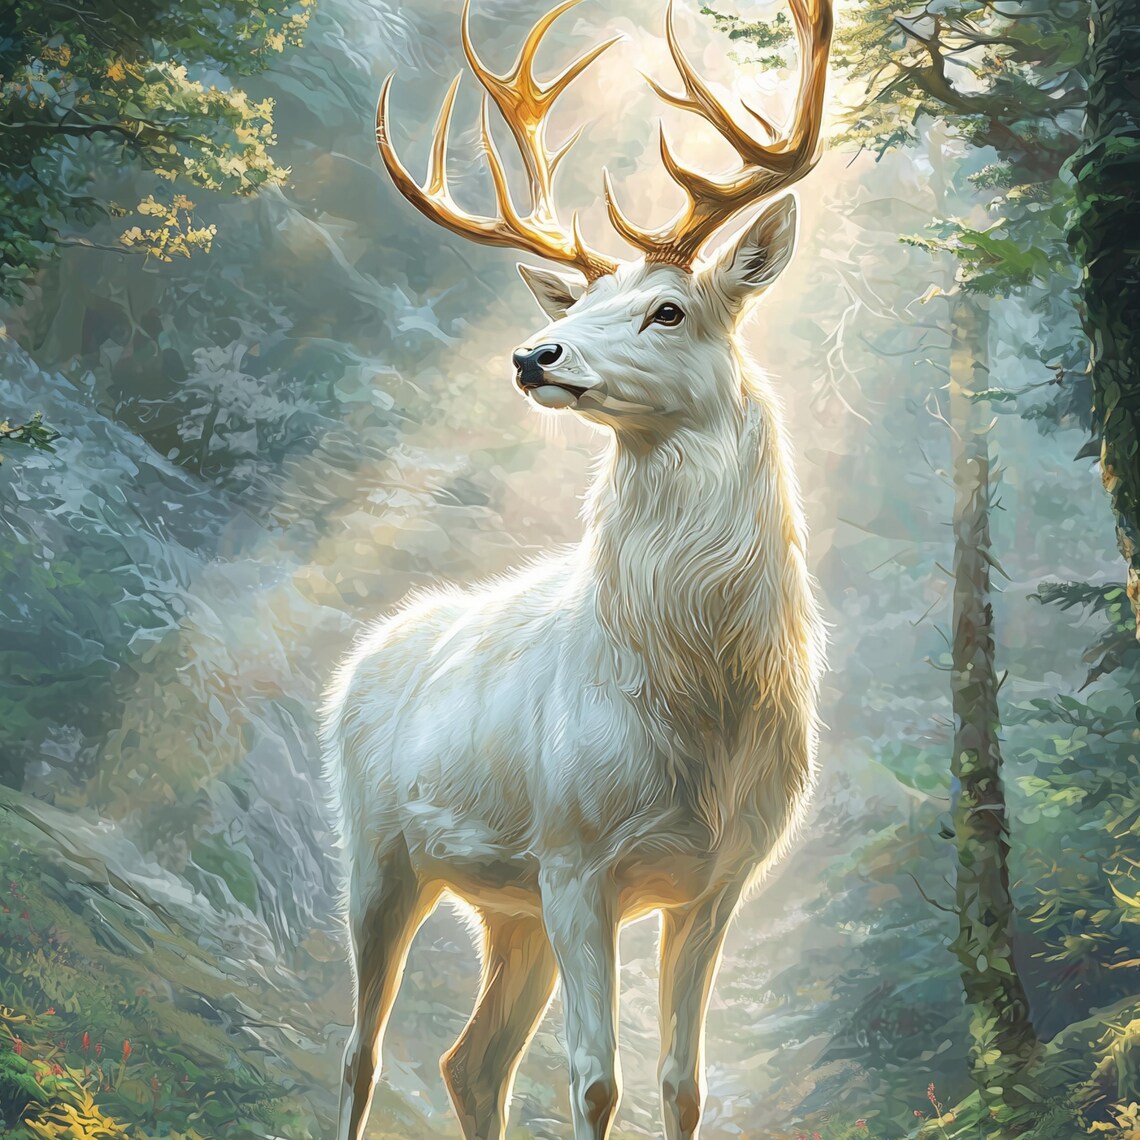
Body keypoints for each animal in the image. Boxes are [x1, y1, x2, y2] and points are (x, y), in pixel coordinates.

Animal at [322, 1, 831, 1137]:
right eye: (576, 307)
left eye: (669, 310)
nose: (533, 355)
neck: (702, 703)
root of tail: (362, 655)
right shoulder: (576, 856)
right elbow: (595, 1080)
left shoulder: (720, 879)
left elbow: (683, 1084)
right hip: (379, 848)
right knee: (362, 1054)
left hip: (508, 907)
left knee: (471, 1060)